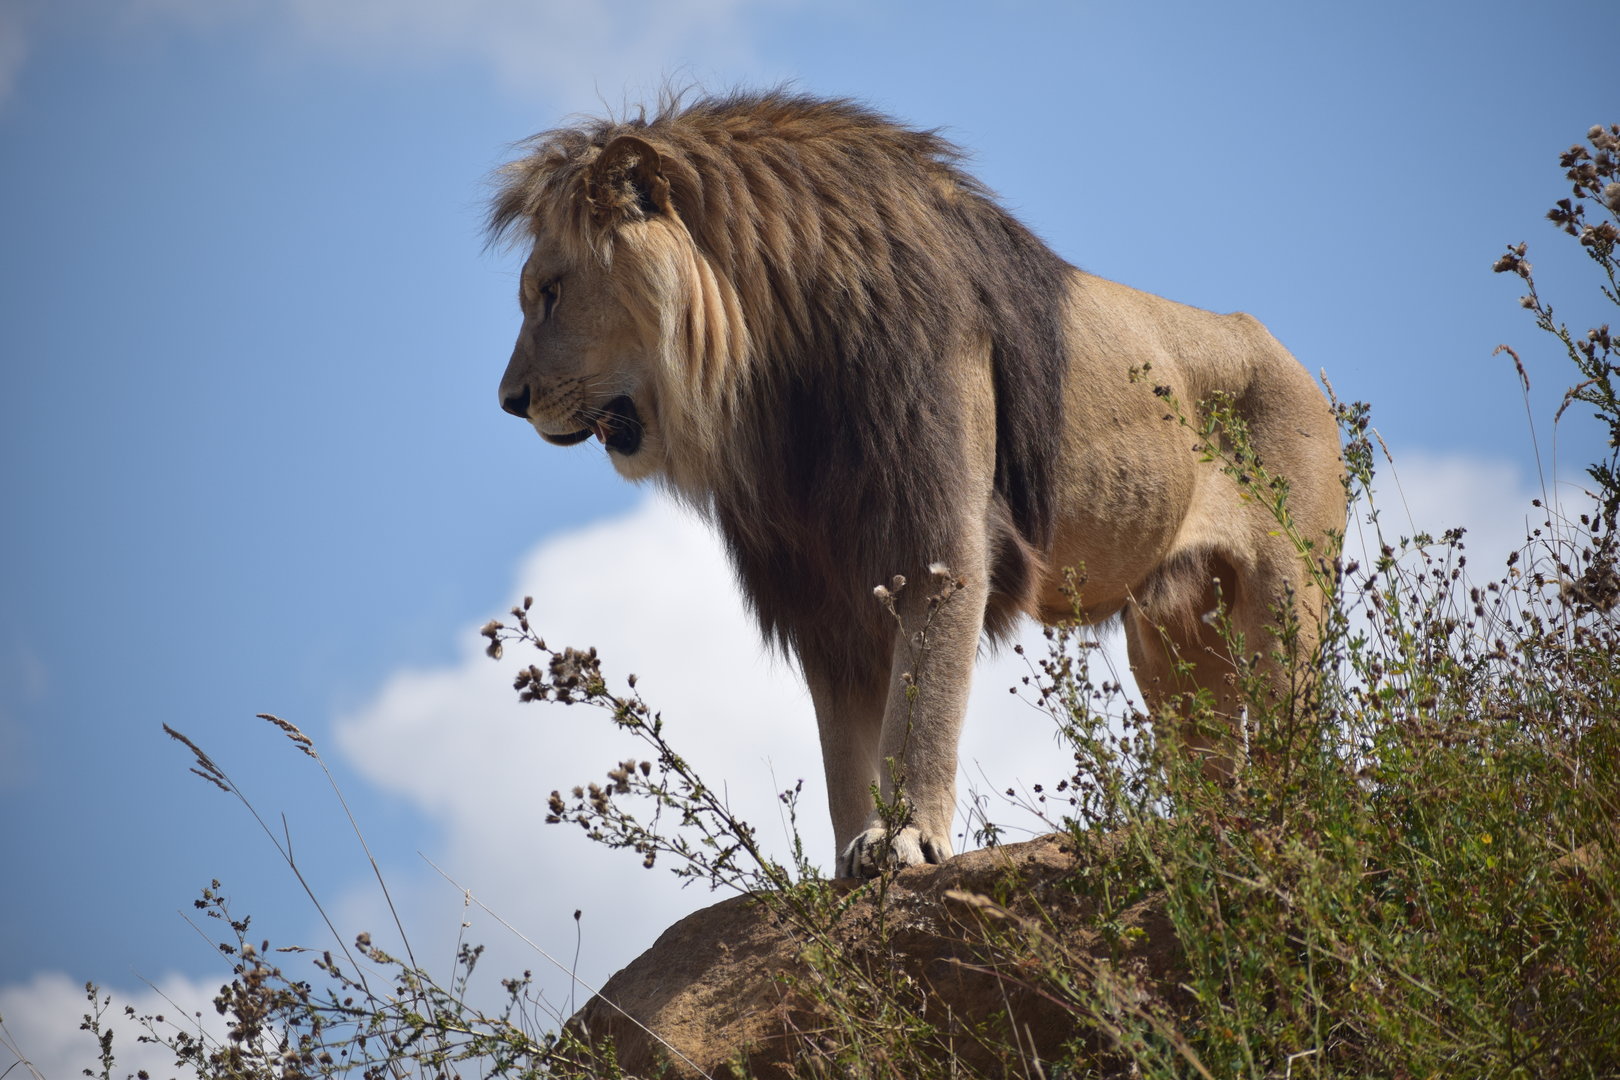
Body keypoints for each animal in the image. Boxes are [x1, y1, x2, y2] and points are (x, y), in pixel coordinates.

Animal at [490, 91, 1346, 878]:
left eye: (551, 292)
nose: (508, 401)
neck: (775, 371)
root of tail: (1292, 361)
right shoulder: (820, 590)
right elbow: (844, 749)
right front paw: (847, 866)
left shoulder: (938, 539)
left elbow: (922, 703)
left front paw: (904, 838)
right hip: (1169, 634)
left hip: (1286, 602)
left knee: (1294, 736)